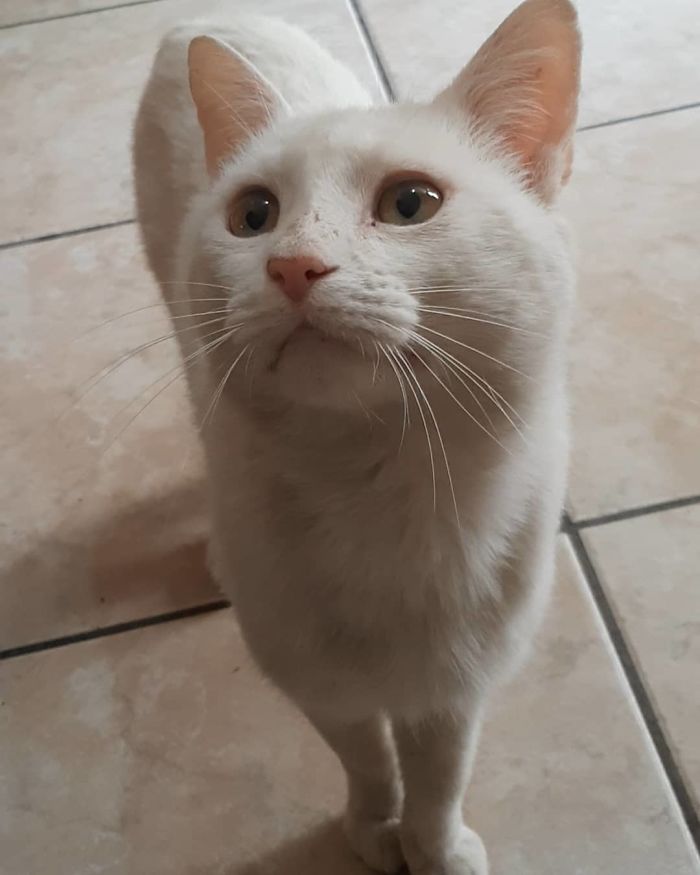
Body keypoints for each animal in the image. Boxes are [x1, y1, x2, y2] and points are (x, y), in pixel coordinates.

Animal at [134, 3, 584, 872]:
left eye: (411, 203)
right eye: (253, 216)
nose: (293, 266)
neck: (370, 482)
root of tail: (200, 18)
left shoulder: (456, 681)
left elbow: (440, 775)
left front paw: (435, 848)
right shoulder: (319, 681)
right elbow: (368, 758)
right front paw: (376, 829)